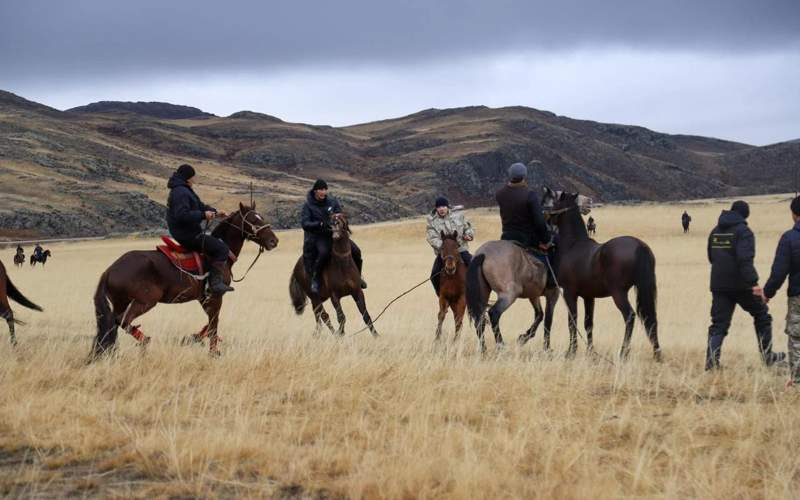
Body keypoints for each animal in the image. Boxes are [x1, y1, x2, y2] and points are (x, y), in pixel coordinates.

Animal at [89, 203, 278, 360]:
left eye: (261, 217)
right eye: (253, 220)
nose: (273, 241)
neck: (220, 255)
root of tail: (111, 269)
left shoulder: (204, 298)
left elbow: (210, 323)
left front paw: (194, 338)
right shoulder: (216, 296)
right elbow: (214, 323)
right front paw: (213, 352)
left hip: (121, 302)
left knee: (111, 326)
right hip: (145, 301)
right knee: (121, 321)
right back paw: (144, 341)